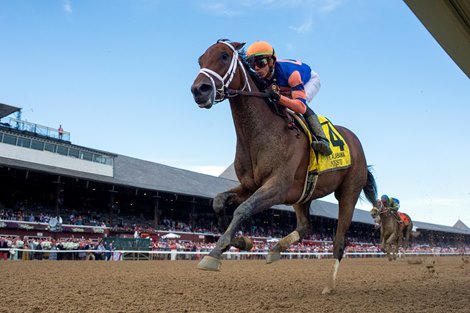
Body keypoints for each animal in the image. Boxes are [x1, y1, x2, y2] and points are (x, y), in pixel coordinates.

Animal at [189, 40, 376, 294]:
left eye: (224, 56)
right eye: (200, 60)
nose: (199, 89)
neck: (259, 133)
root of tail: (357, 143)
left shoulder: (278, 186)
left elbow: (243, 209)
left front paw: (216, 252)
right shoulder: (249, 186)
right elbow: (218, 202)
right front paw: (242, 242)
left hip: (348, 192)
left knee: (339, 241)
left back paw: (329, 286)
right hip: (303, 194)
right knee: (305, 225)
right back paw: (276, 249)